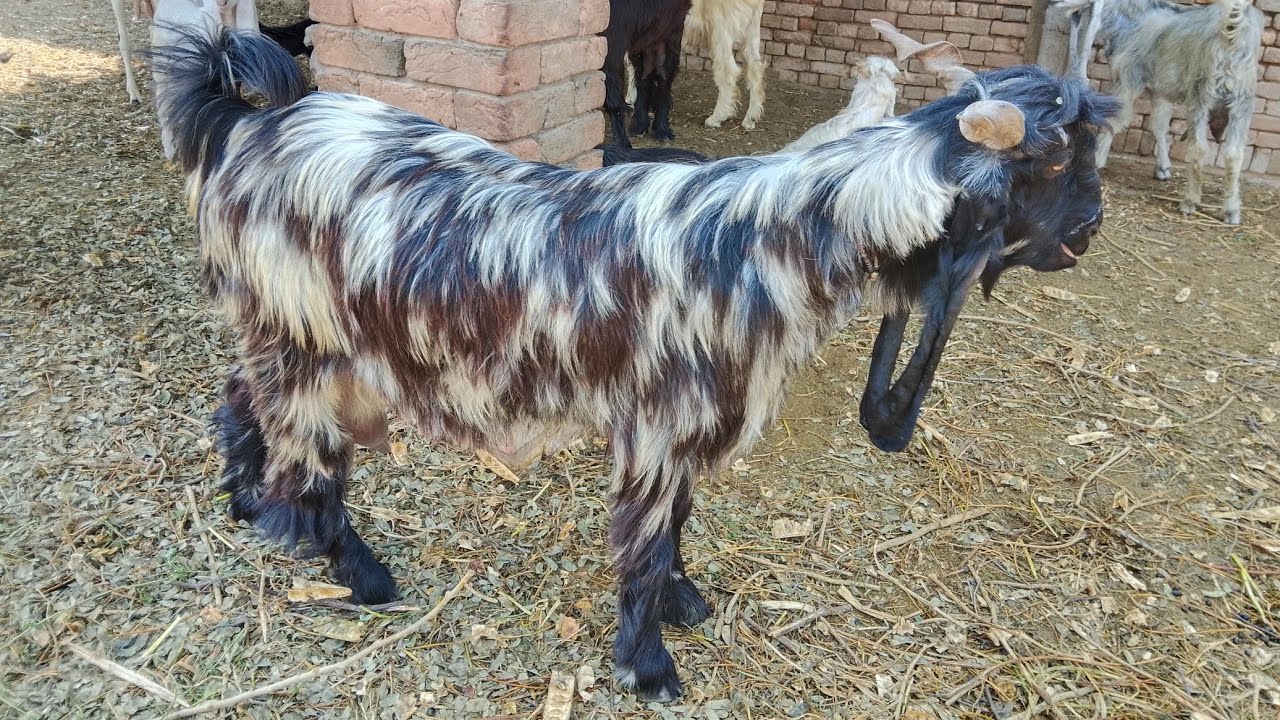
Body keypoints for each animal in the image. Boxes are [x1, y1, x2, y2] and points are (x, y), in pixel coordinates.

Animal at [149, 24, 1115, 703]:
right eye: (1052, 160)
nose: (1091, 229)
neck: (771, 244)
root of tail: (247, 119)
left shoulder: (688, 430)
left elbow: (680, 525)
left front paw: (686, 606)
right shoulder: (657, 425)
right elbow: (647, 546)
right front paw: (648, 666)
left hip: (282, 331)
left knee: (240, 399)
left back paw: (245, 501)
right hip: (309, 343)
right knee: (310, 471)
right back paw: (359, 571)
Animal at [604, 0, 692, 147]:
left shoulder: (612, 43)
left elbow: (613, 96)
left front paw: (622, 144)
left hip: (669, 33)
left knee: (663, 78)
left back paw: (662, 130)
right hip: (644, 39)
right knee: (644, 75)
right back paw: (640, 125)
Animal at [1052, 0, 1263, 224]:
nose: (1053, 4)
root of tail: (1233, 34)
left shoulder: (1129, 79)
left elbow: (1115, 118)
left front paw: (1098, 159)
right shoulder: (1158, 89)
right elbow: (1160, 126)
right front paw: (1163, 168)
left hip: (1203, 92)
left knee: (1199, 148)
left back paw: (1190, 201)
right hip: (1242, 98)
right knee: (1234, 153)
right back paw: (1232, 211)